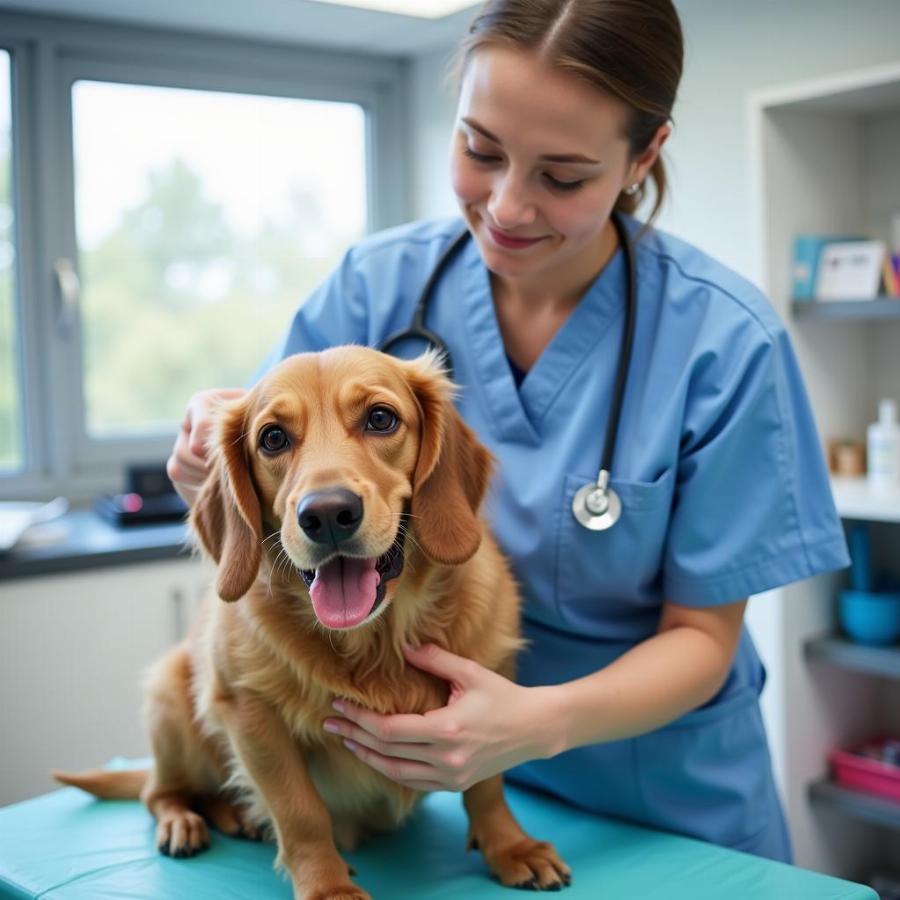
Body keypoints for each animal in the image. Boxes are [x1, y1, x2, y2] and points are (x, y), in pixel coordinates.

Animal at [56, 346, 572, 900]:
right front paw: (326, 885)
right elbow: (299, 812)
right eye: (273, 437)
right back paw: (186, 820)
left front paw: (509, 846)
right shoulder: (250, 713)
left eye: (381, 418)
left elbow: (487, 785)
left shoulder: (487, 694)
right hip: (170, 695)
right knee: (158, 791)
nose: (326, 514)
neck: (375, 643)